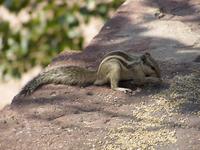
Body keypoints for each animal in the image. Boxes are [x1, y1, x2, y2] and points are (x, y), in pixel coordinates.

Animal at [16, 50, 162, 96]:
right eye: (152, 67)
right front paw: (155, 80)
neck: (139, 63)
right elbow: (142, 80)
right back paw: (122, 88)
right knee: (111, 86)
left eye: (157, 65)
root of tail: (97, 74)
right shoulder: (138, 73)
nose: (160, 76)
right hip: (115, 68)